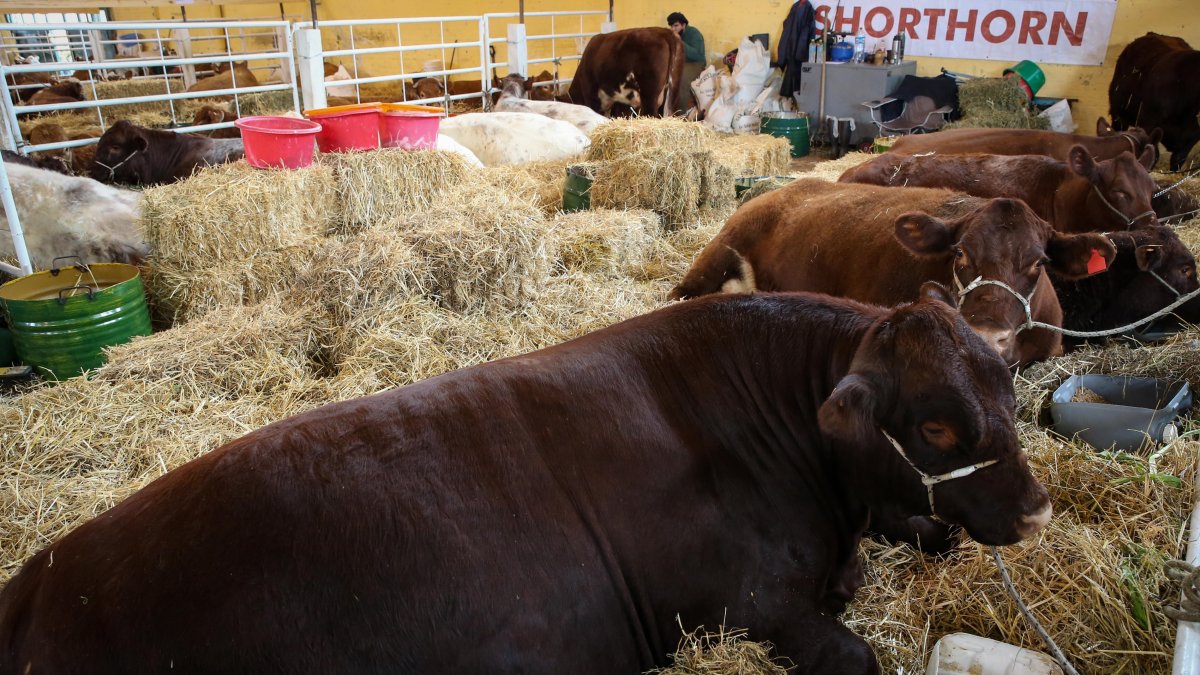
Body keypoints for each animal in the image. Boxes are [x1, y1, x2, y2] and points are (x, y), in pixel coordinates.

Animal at [0, 287, 1051, 674]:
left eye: (1008, 385)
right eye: (938, 424)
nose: (1041, 510)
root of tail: (42, 577)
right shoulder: (745, 607)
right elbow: (857, 656)